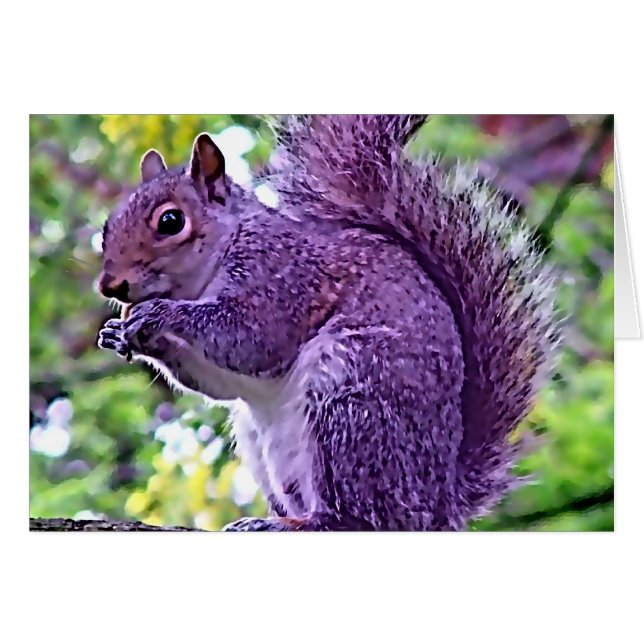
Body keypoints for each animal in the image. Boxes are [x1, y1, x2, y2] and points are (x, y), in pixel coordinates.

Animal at [97, 115, 559, 531]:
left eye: (170, 221)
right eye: (108, 225)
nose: (108, 285)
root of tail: (438, 508)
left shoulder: (282, 279)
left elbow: (250, 339)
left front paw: (160, 314)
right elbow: (221, 382)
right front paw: (124, 335)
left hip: (349, 402)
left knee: (360, 518)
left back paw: (299, 523)